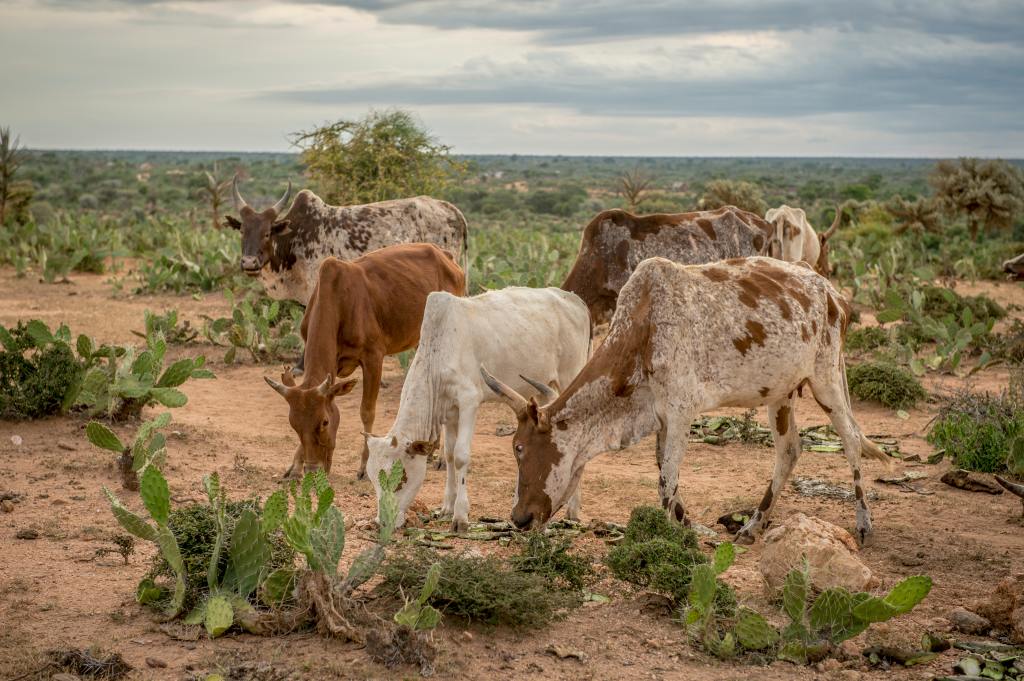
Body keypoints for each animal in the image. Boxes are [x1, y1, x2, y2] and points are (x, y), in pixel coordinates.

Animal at [264, 243, 465, 480]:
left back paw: (443, 457)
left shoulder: (373, 358)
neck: (338, 298)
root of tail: (447, 257)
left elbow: (367, 411)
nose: (314, 469)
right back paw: (430, 447)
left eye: (324, 421)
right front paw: (295, 467)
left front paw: (363, 467)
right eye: (293, 425)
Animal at [364, 287, 591, 533]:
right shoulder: (449, 411)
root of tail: (575, 299)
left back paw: (573, 511)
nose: (382, 522)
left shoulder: (469, 401)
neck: (438, 353)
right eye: (373, 479)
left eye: (401, 479)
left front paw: (460, 516)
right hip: (541, 388)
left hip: (572, 376)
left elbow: (461, 456)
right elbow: (449, 454)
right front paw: (447, 507)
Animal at [483, 256, 889, 546]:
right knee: (789, 451)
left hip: (826, 380)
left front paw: (685, 535)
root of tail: (831, 292)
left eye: (520, 448)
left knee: (850, 440)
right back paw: (753, 526)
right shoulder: (661, 419)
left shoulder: (681, 413)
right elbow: (665, 479)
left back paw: (864, 523)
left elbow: (666, 483)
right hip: (782, 393)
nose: (519, 518)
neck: (644, 327)